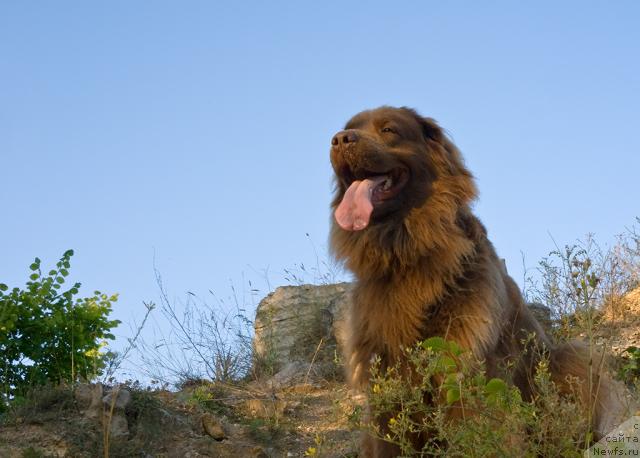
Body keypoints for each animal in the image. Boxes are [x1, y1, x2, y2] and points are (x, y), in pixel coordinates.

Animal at [330, 106, 624, 454]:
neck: (407, 255)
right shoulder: (383, 389)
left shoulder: (469, 376)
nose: (339, 139)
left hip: (570, 357)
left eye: (388, 129)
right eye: (348, 128)